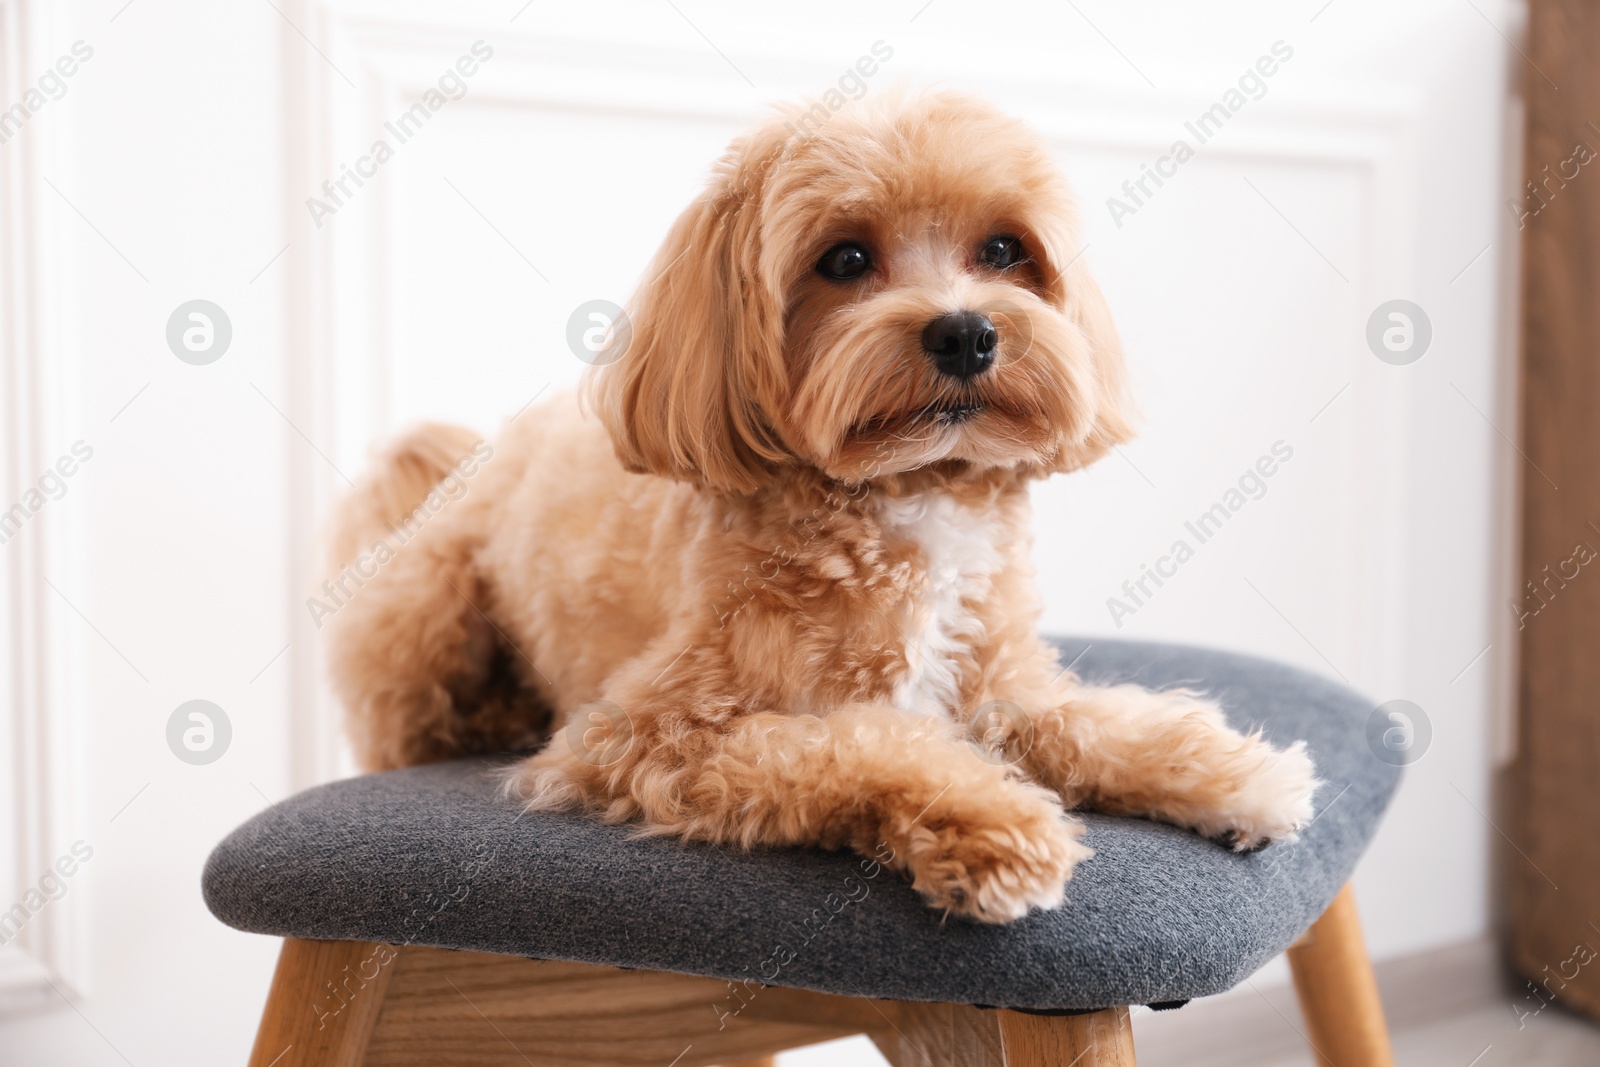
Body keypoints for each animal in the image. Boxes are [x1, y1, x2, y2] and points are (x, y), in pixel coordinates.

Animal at [318, 89, 1318, 927]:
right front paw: (993, 823)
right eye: (845, 259)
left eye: (1003, 250)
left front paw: (1230, 772)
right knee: (406, 726)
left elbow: (1086, 718)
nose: (966, 331)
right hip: (428, 608)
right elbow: (861, 745)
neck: (907, 495)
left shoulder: (994, 681)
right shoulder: (646, 735)